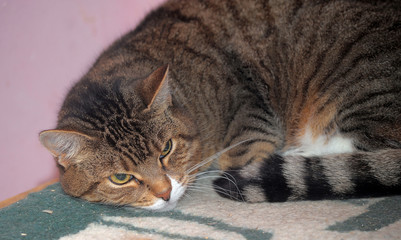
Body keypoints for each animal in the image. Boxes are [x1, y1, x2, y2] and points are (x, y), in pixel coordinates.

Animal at [39, 0, 400, 210]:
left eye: (166, 149)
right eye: (120, 178)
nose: (165, 193)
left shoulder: (249, 107)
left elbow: (240, 156)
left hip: (360, 83)